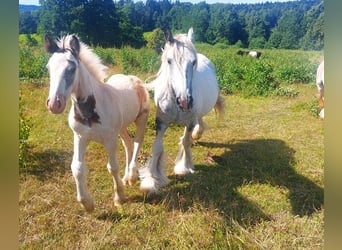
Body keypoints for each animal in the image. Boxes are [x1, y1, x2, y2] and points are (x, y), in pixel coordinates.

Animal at [44, 34, 150, 212]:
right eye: (48, 68)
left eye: (72, 68)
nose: (54, 104)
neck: (90, 111)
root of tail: (133, 78)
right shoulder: (80, 137)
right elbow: (77, 168)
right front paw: (86, 204)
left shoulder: (110, 140)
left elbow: (112, 167)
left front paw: (119, 197)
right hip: (121, 127)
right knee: (128, 144)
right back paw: (127, 177)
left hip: (141, 118)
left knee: (137, 143)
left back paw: (131, 177)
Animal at [139, 28, 224, 194]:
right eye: (169, 61)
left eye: (193, 62)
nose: (185, 101)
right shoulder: (161, 122)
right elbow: (157, 148)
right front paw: (152, 180)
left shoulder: (189, 121)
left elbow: (185, 142)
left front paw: (184, 167)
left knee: (199, 121)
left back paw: (197, 134)